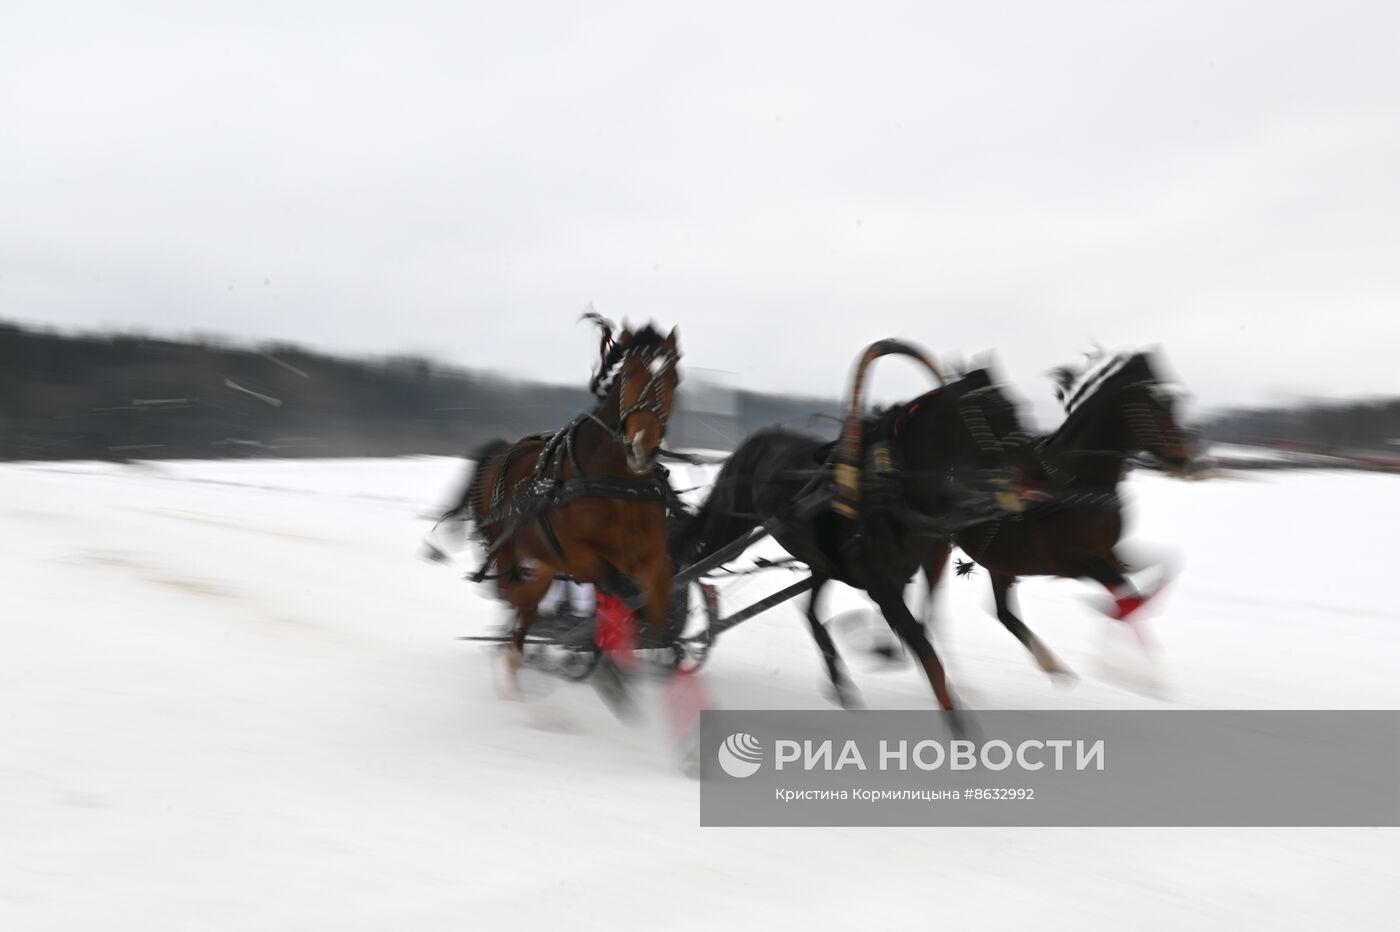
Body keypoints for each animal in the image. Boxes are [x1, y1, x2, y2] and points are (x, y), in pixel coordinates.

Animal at [445, 319, 680, 682]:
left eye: (673, 379)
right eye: (628, 375)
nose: (642, 447)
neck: (618, 484)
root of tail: (500, 451)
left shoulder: (654, 560)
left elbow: (659, 622)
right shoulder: (576, 556)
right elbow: (615, 591)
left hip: (539, 559)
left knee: (524, 602)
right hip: (507, 548)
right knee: (515, 597)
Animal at [672, 366, 1036, 713]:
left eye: (1016, 406)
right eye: (994, 410)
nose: (1034, 474)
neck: (892, 486)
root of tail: (751, 443)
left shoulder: (914, 567)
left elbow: (919, 627)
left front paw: (880, 648)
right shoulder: (881, 582)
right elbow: (920, 643)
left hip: (819, 562)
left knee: (810, 612)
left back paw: (838, 680)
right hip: (730, 527)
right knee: (691, 561)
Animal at [929, 347, 1192, 674]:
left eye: (1173, 400)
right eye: (1153, 402)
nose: (1185, 459)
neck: (1075, 483)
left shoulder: (1109, 552)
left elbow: (1159, 570)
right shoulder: (1075, 561)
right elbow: (1130, 598)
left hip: (1000, 562)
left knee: (1003, 613)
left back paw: (1052, 664)